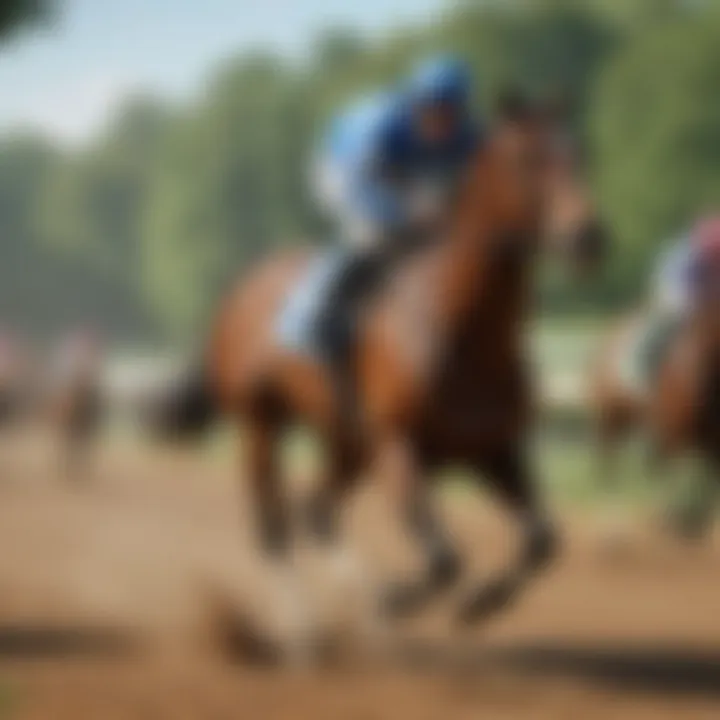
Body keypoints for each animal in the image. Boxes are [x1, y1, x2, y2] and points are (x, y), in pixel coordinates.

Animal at [177, 95, 604, 640]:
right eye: (527, 159)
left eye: (579, 153)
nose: (588, 235)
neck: (461, 327)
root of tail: (237, 290)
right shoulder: (401, 446)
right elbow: (444, 558)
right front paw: (400, 600)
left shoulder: (496, 448)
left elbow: (542, 538)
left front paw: (480, 603)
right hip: (261, 423)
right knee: (273, 525)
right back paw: (302, 627)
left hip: (347, 440)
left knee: (318, 511)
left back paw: (359, 603)